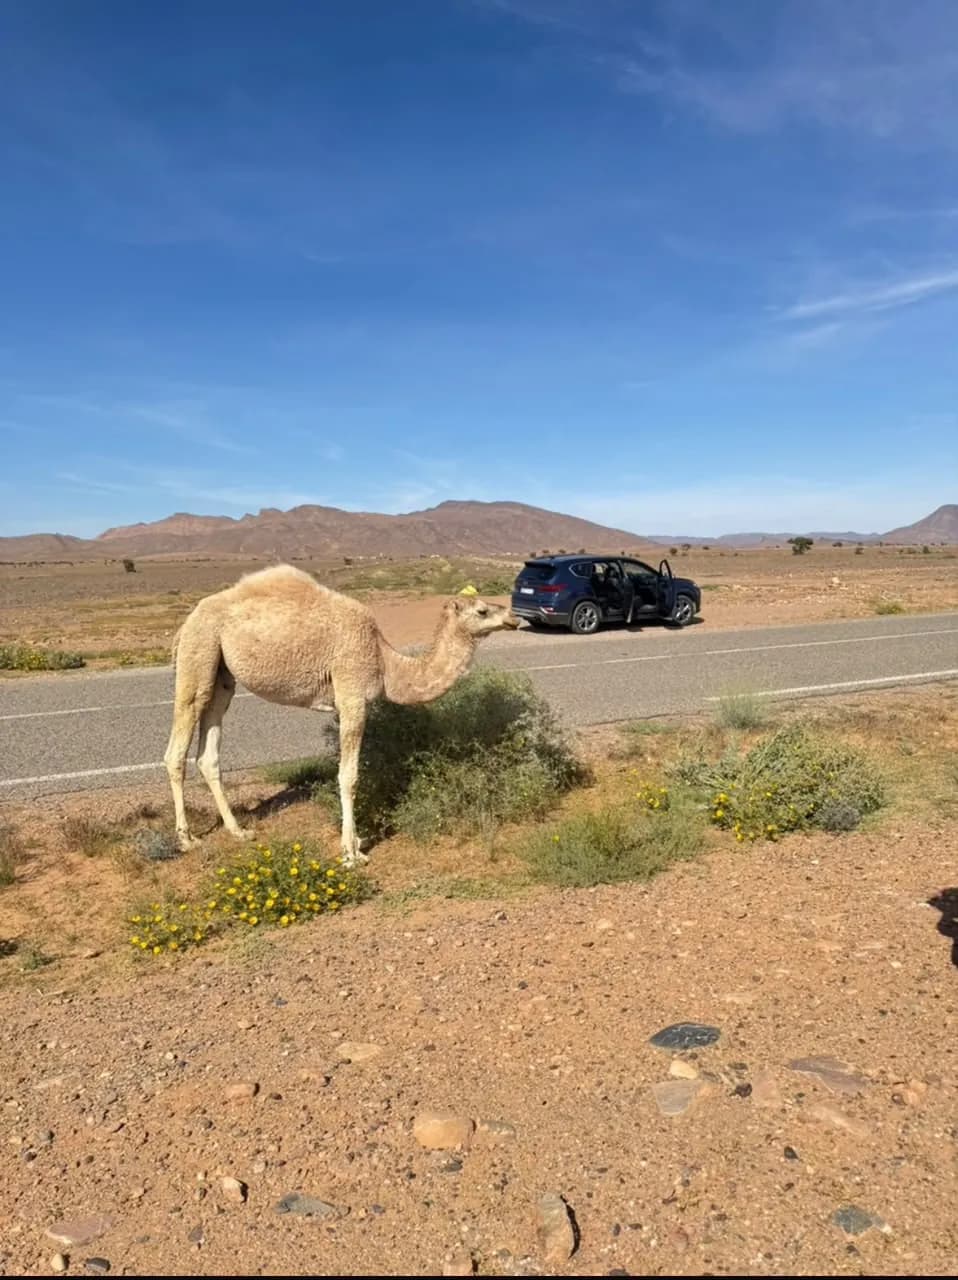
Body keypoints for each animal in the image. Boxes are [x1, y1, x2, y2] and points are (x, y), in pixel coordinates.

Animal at [164, 565, 518, 865]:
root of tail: (188, 619)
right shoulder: (351, 695)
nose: (514, 617)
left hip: (222, 675)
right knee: (177, 748)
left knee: (208, 753)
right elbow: (349, 776)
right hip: (199, 651)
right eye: (482, 610)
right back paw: (186, 839)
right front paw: (352, 852)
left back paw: (239, 831)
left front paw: (355, 843)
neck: (386, 663)